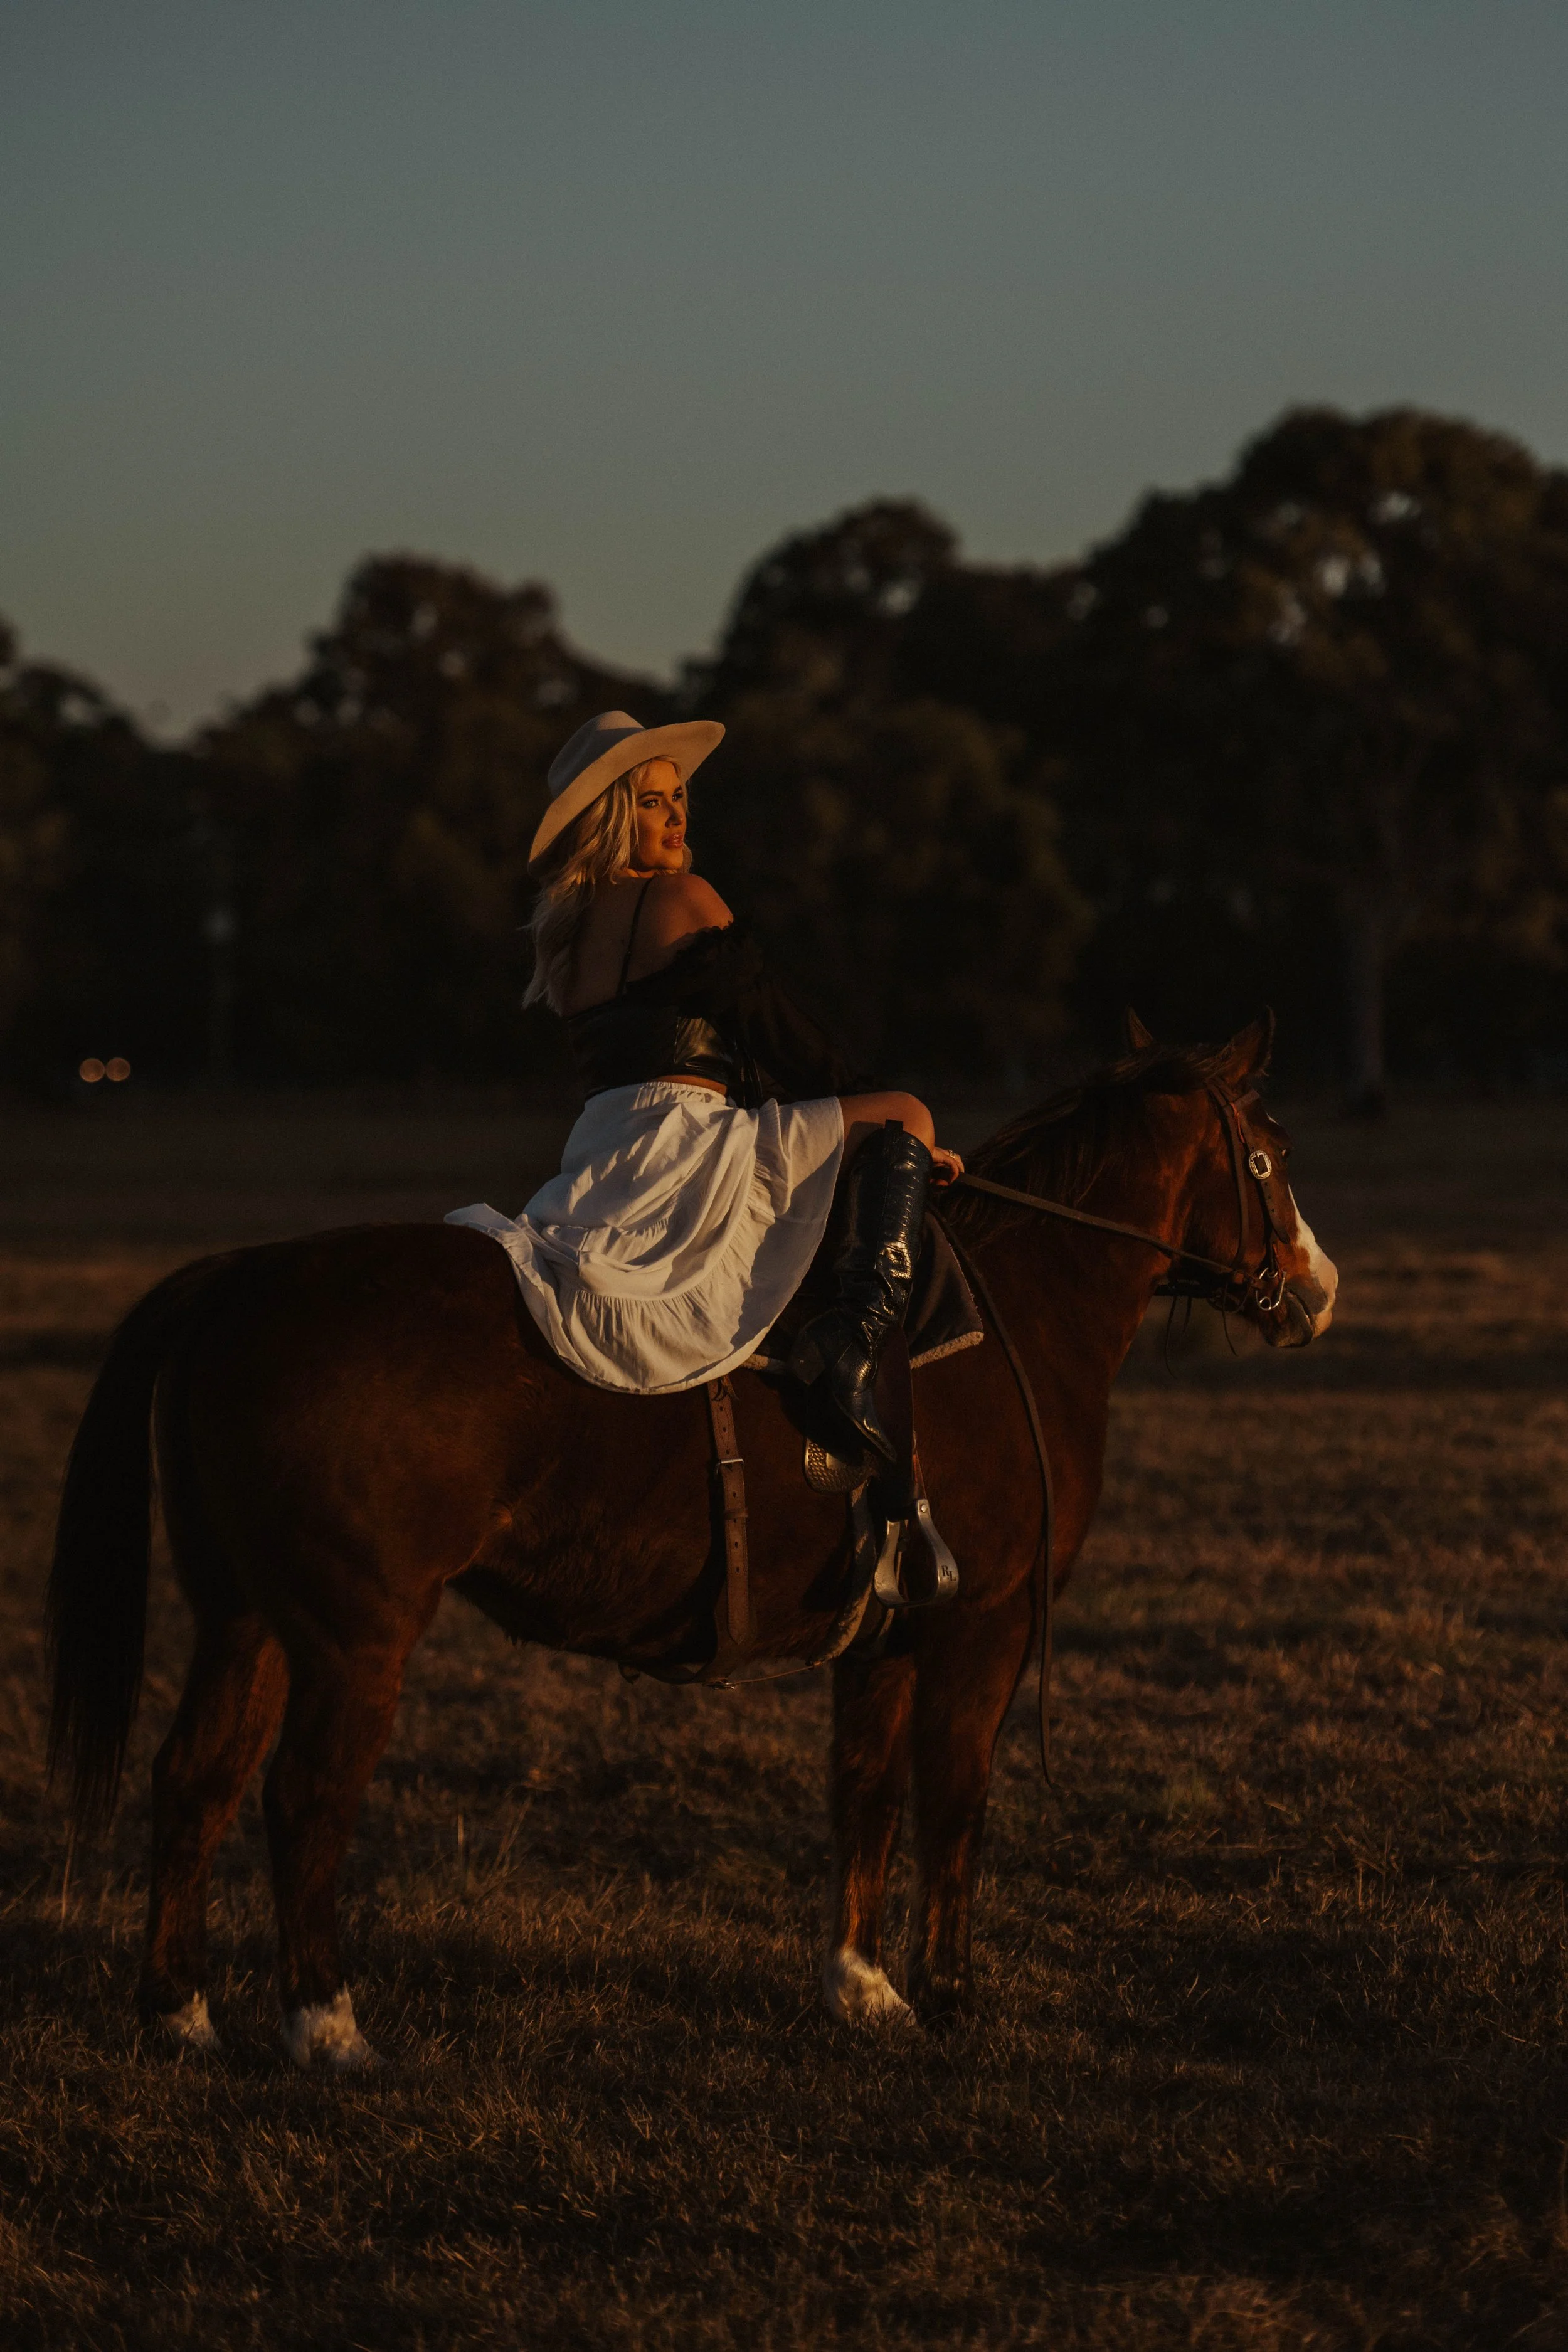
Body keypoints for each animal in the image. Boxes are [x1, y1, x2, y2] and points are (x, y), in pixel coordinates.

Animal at [46, 1013, 1337, 2065]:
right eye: (1268, 1152)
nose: (1318, 1288)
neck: (1017, 1313)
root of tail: (243, 1277)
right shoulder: (982, 1627)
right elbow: (956, 1798)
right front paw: (951, 1993)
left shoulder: (887, 1638)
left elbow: (865, 1791)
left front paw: (863, 1987)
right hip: (354, 1635)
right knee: (306, 1794)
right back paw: (327, 2025)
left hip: (249, 1617)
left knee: (197, 1777)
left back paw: (179, 2011)